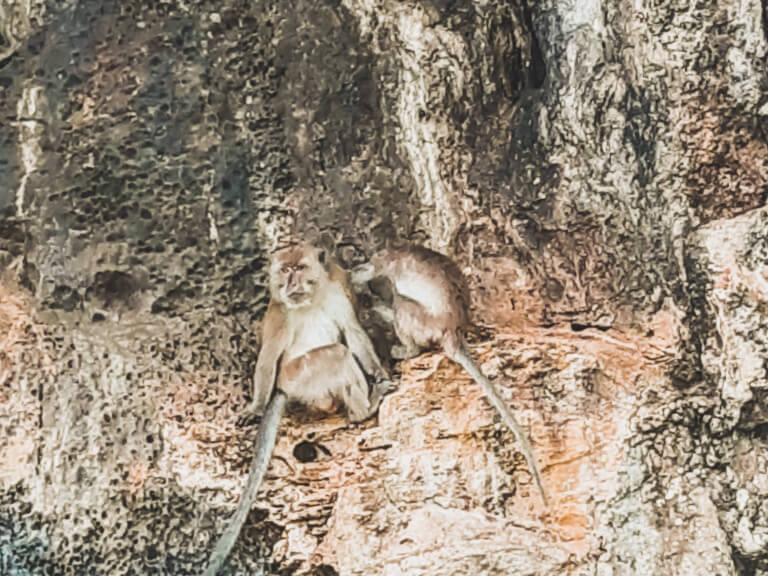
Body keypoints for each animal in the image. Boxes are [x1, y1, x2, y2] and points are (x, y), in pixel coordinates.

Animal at [202, 243, 392, 576]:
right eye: (285, 270)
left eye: (299, 268)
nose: (290, 283)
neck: (312, 297)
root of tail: (282, 388)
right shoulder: (281, 311)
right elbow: (268, 354)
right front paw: (255, 407)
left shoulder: (337, 289)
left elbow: (353, 332)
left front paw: (379, 372)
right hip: (299, 378)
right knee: (336, 355)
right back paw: (364, 411)